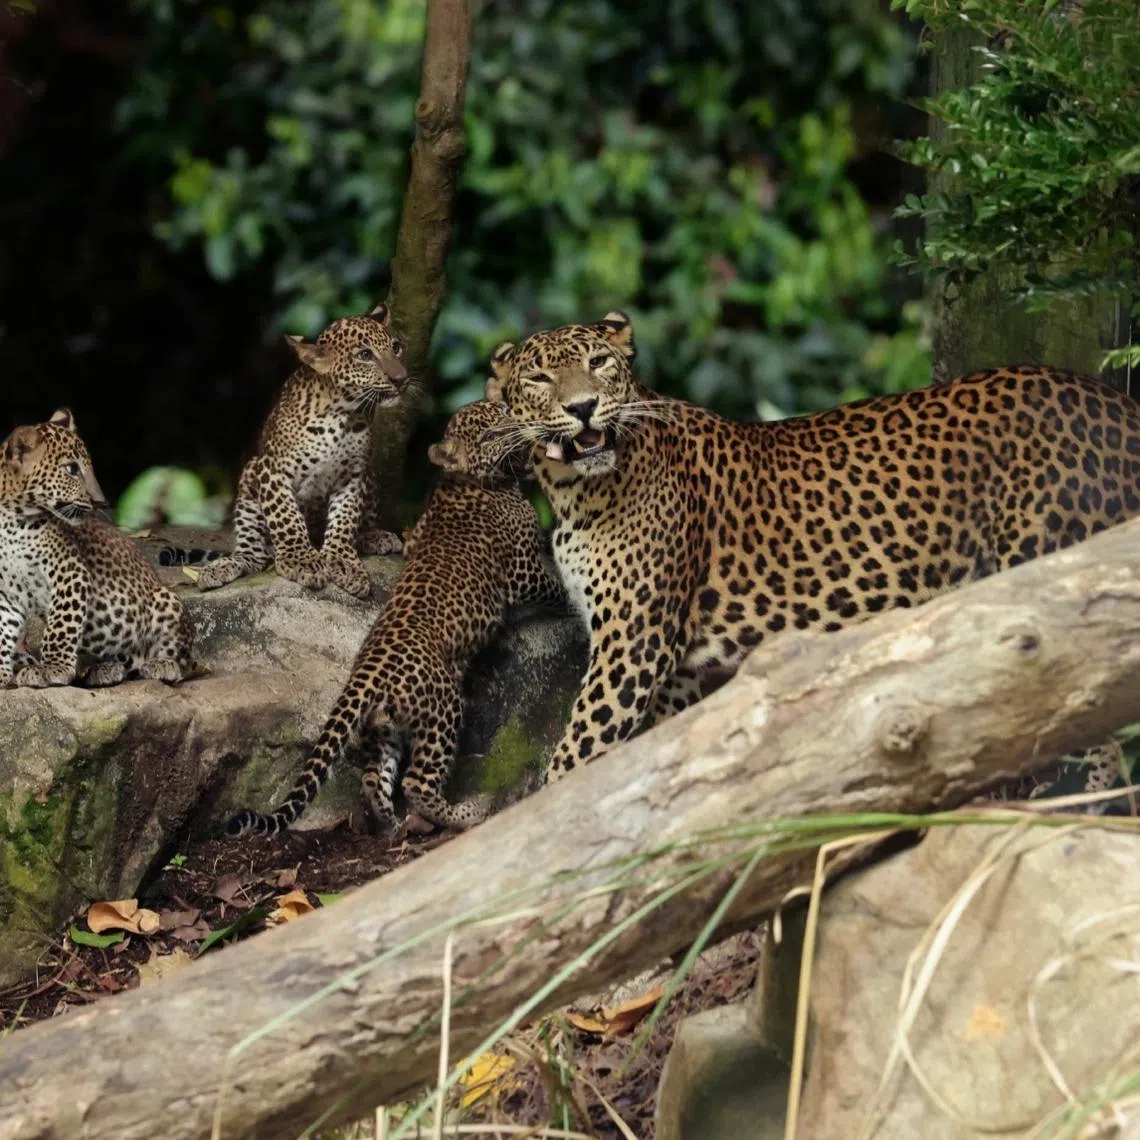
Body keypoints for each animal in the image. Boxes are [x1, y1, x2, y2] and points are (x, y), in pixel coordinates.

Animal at [0, 409, 193, 688]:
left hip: (166, 602)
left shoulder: (70, 571)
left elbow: (61, 625)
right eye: (71, 469)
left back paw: (162, 665)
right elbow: (3, 631)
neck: (10, 522)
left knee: (184, 660)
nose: (100, 501)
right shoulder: (7, 591)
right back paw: (105, 669)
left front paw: (54, 668)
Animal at [189, 304, 409, 599]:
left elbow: (345, 519)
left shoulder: (353, 475)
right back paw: (222, 567)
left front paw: (342, 561)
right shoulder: (272, 470)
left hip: (370, 478)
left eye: (395, 347)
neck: (344, 414)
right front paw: (301, 560)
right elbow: (286, 517)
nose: (401, 379)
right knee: (253, 556)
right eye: (365, 355)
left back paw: (374, 536)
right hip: (248, 480)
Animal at [226, 398, 566, 837]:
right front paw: (571, 599)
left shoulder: (413, 536)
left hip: (383, 728)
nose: (522, 428)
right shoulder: (524, 572)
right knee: (417, 782)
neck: (464, 482)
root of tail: (367, 672)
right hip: (443, 710)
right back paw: (465, 814)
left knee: (374, 778)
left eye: (505, 413)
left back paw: (390, 824)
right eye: (492, 433)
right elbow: (553, 586)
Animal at [484, 310, 1140, 782]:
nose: (582, 407)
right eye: (540, 378)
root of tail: (1113, 401)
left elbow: (574, 758)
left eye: (598, 363)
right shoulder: (674, 671)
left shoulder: (632, 646)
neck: (575, 491)